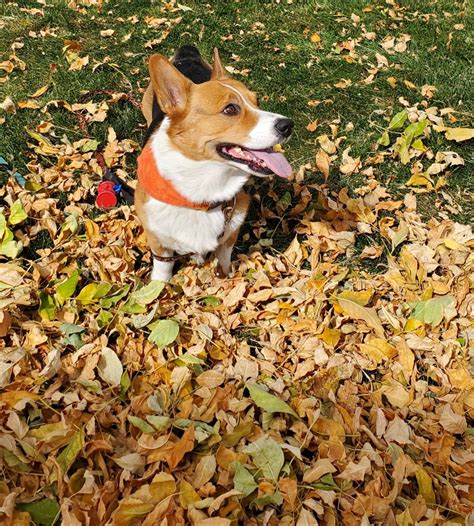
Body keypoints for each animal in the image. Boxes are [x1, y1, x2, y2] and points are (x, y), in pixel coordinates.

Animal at [135, 47, 294, 282]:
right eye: (230, 109)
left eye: (257, 101)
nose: (288, 125)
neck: (201, 195)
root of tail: (187, 51)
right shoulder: (158, 240)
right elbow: (163, 267)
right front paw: (160, 286)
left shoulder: (229, 234)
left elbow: (224, 259)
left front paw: (224, 276)